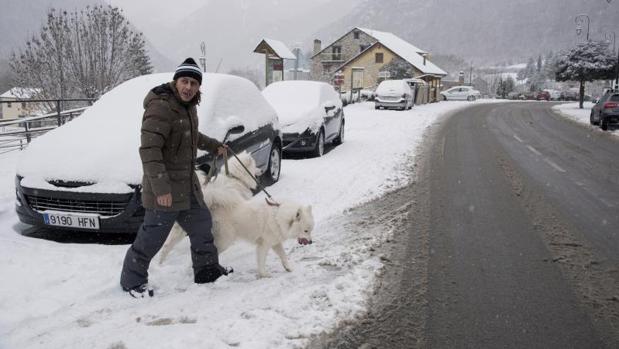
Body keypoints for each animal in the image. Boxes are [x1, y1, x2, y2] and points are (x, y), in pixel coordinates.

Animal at [160, 150, 314, 278]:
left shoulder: (275, 242)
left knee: (169, 245)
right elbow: (261, 260)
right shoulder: (264, 244)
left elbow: (283, 256)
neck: (277, 217)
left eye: (310, 230)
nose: (312, 242)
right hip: (225, 240)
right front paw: (264, 274)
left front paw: (289, 268)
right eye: (306, 230)